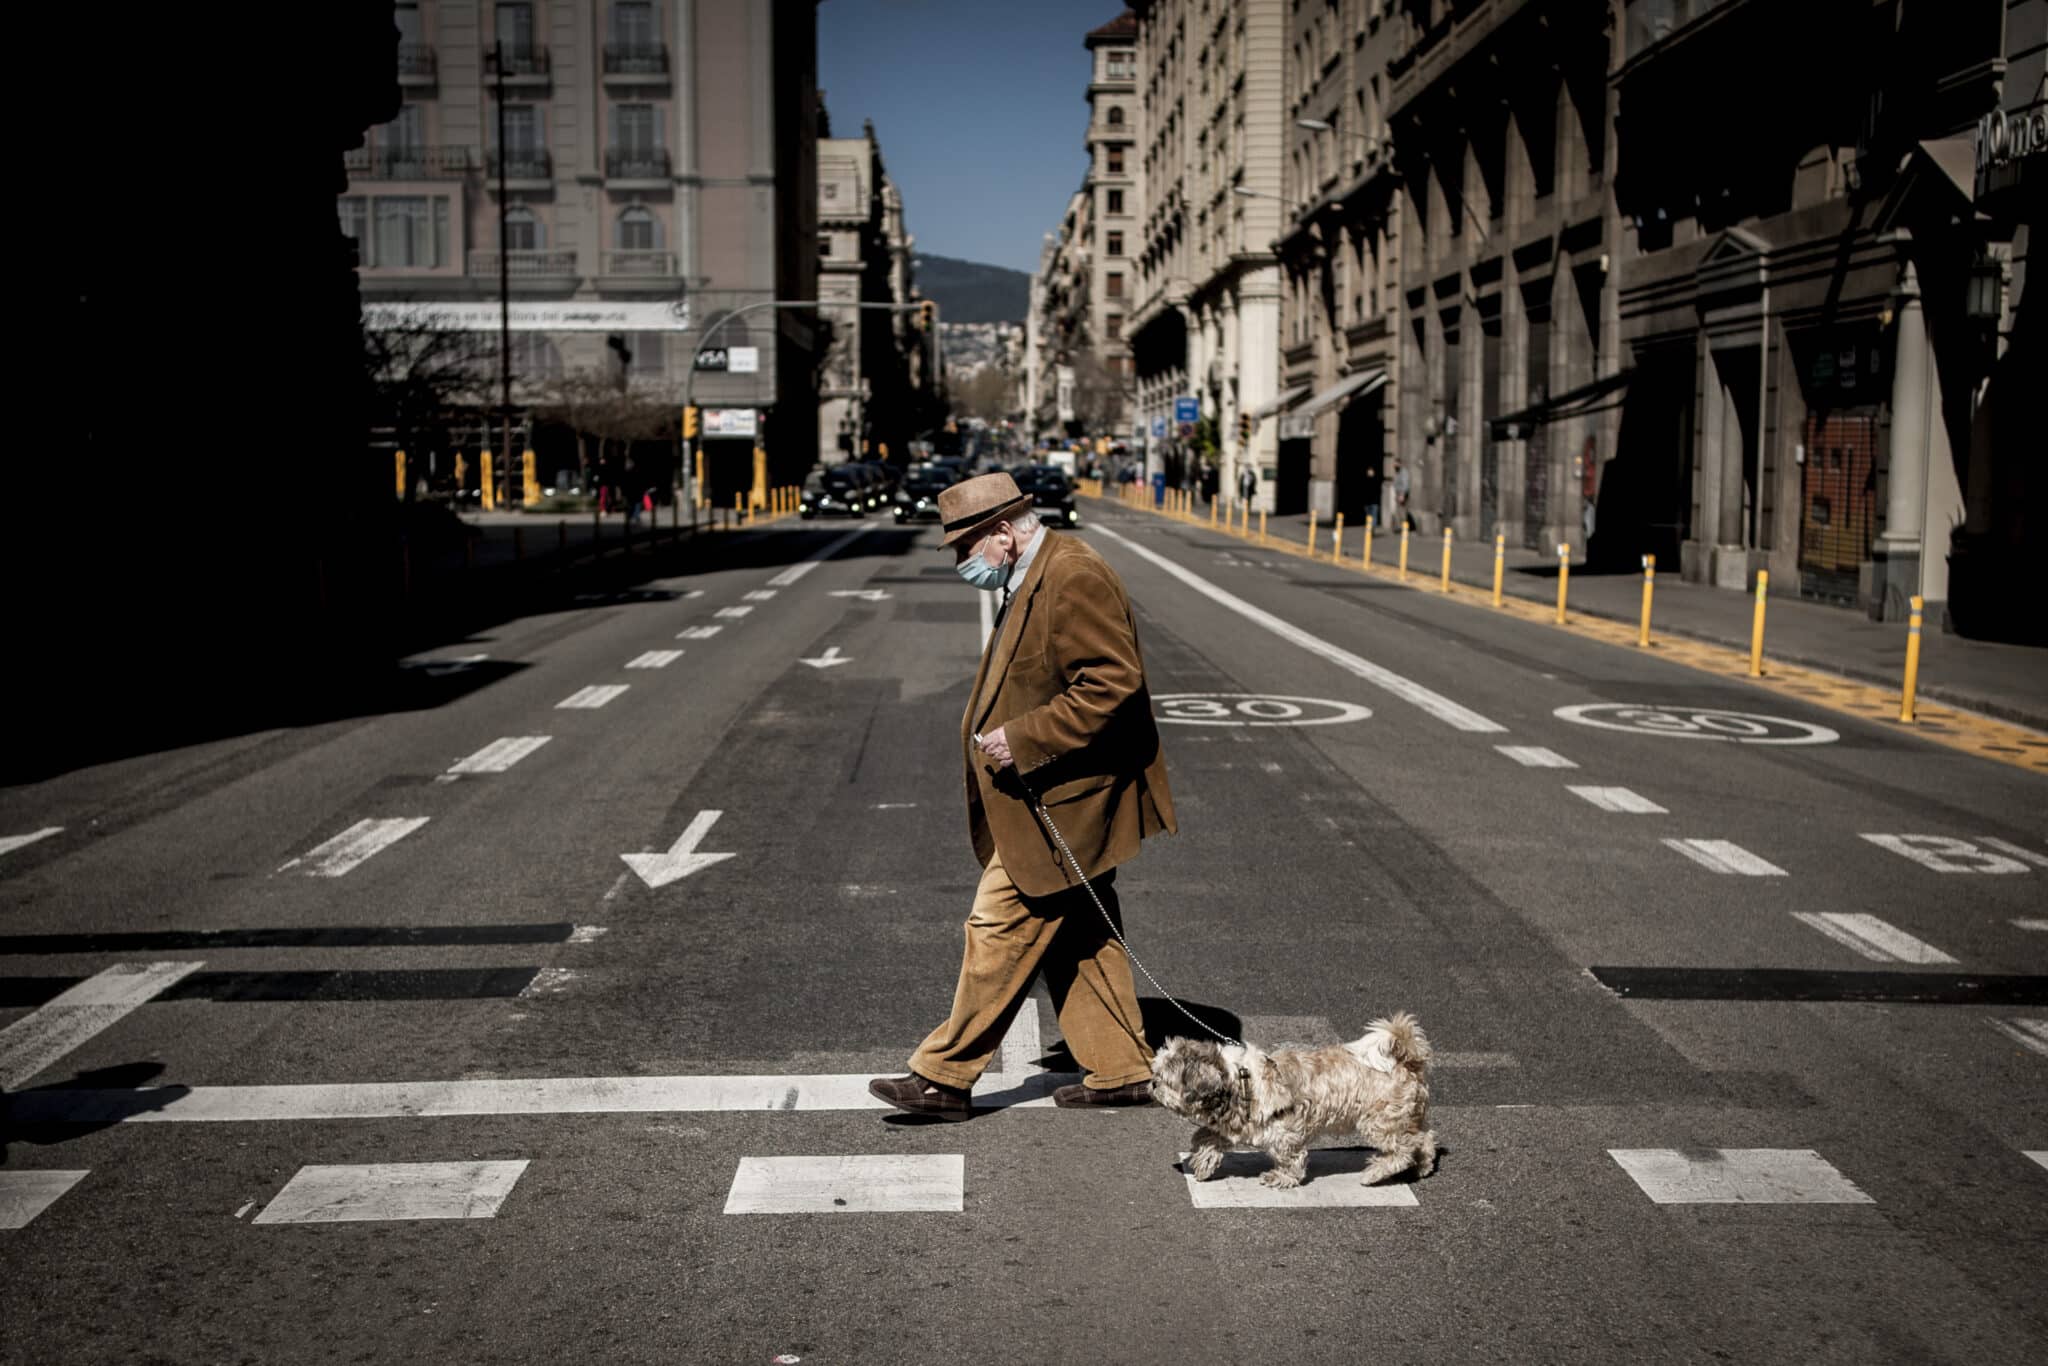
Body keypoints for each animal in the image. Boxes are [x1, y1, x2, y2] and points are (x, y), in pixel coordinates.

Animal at [1155, 1011, 1441, 1187]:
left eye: (1166, 1080)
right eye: (1156, 1074)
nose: (1152, 1084)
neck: (1239, 1080)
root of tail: (1406, 1061)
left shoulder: (1284, 1134)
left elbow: (1289, 1158)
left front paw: (1281, 1177)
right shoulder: (1236, 1126)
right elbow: (1206, 1138)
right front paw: (1203, 1162)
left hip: (1380, 1121)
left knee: (1403, 1148)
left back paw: (1375, 1172)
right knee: (1423, 1138)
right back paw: (1423, 1166)